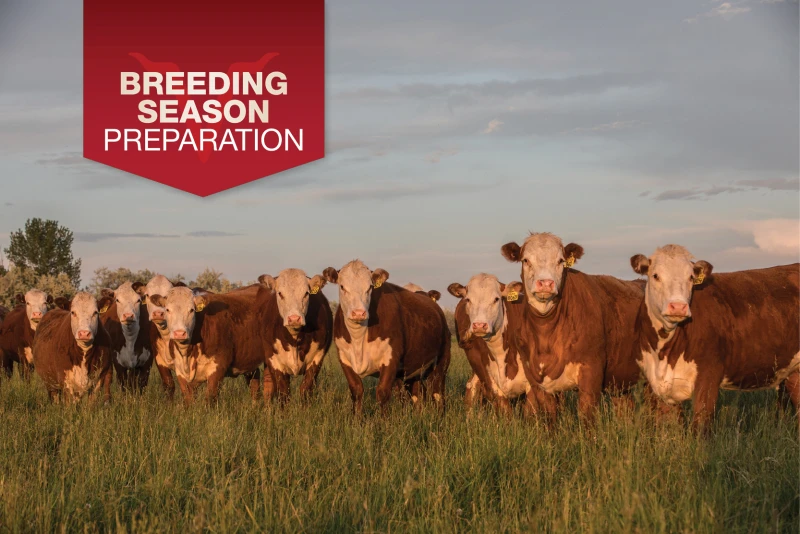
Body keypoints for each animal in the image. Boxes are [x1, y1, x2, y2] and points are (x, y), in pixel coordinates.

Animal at [256, 269, 333, 403]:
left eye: (306, 293)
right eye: (280, 293)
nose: (294, 318)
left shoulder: (317, 357)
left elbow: (305, 389)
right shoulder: (274, 360)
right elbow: (283, 392)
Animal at [323, 260, 451, 415]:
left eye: (370, 287)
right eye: (342, 286)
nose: (358, 313)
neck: (359, 338)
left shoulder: (391, 359)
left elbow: (383, 393)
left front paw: (384, 421)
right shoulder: (344, 359)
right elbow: (357, 391)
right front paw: (357, 419)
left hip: (442, 361)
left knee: (437, 392)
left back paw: (440, 416)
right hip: (414, 367)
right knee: (418, 395)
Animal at [448, 274, 530, 416]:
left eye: (496, 299)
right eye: (468, 299)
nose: (479, 325)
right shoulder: (489, 379)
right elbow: (504, 409)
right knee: (471, 386)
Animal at [501, 232, 644, 425]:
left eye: (561, 261)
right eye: (525, 260)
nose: (545, 283)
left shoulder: (591, 371)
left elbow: (586, 416)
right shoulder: (535, 378)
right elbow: (549, 417)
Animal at [630, 245, 800, 431]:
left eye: (690, 277)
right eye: (655, 275)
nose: (679, 306)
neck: (663, 354)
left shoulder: (708, 376)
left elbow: (701, 428)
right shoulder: (658, 386)